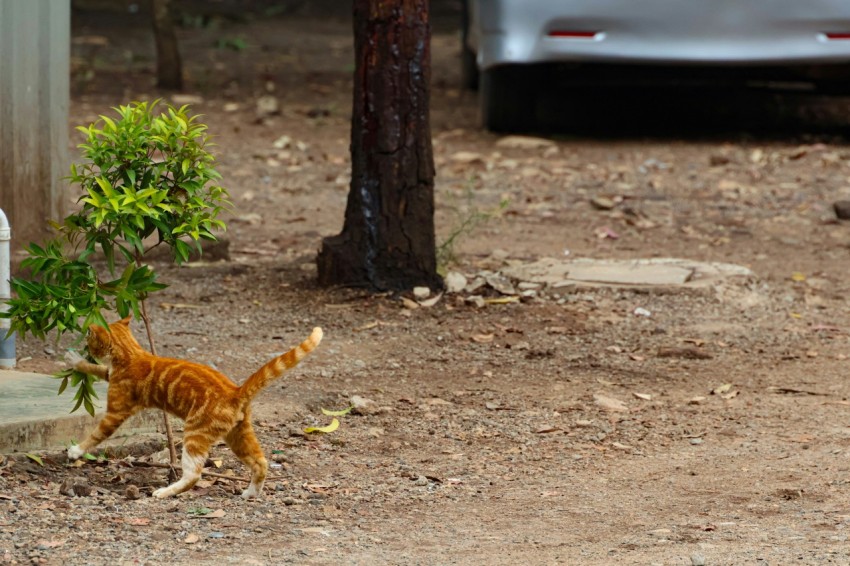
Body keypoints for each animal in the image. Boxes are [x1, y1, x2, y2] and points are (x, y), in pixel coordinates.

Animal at [66, 320, 322, 502]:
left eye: (89, 340)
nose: (84, 343)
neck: (132, 354)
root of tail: (235, 391)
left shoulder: (116, 412)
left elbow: (95, 435)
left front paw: (76, 451)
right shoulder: (110, 375)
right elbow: (97, 369)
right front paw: (75, 360)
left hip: (195, 433)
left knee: (193, 474)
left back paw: (166, 492)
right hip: (239, 435)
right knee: (261, 462)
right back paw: (251, 493)